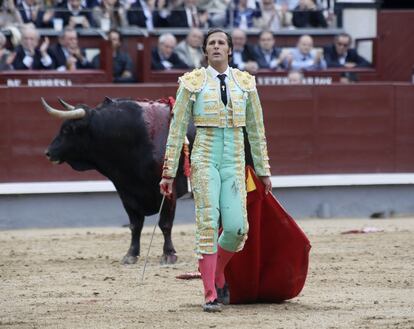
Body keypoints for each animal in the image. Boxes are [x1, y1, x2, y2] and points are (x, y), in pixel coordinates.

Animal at [42, 97, 196, 264]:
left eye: (67, 130)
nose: (48, 153)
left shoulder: (168, 191)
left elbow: (165, 224)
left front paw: (168, 254)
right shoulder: (126, 191)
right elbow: (135, 225)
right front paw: (131, 255)